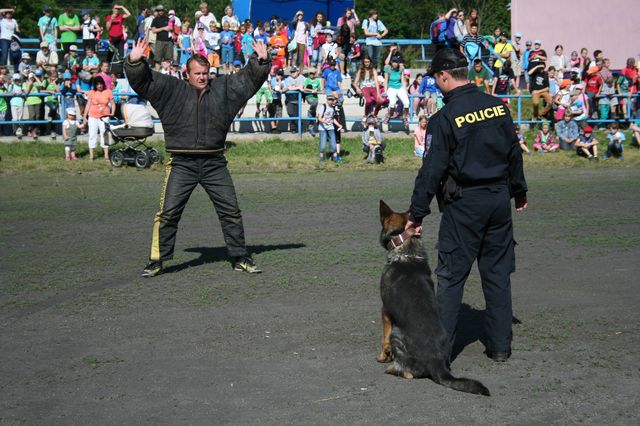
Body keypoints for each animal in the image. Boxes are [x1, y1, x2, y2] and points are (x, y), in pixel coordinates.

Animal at [376, 200, 490, 396]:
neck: (406, 249)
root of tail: (436, 361)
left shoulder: (385, 311)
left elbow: (384, 339)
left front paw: (382, 357)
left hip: (397, 334)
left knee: (409, 374)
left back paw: (391, 369)